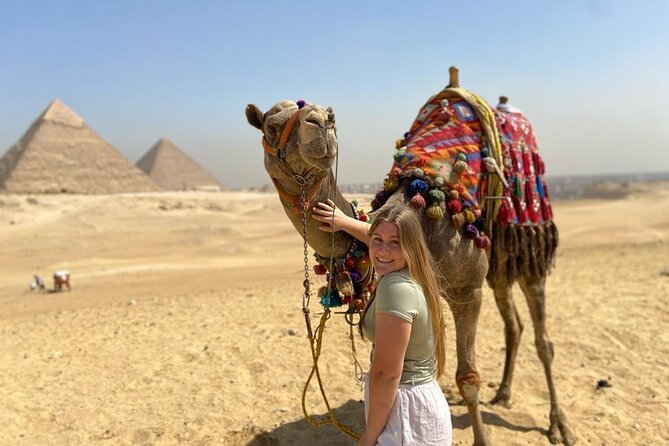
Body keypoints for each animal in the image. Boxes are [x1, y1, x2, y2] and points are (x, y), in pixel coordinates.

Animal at [246, 67, 575, 446]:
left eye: (331, 116)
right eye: (271, 126)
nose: (320, 121)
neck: (417, 206)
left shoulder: (467, 290)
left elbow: (467, 377)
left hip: (526, 245)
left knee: (542, 338)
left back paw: (559, 424)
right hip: (499, 262)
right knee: (514, 324)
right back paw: (504, 393)